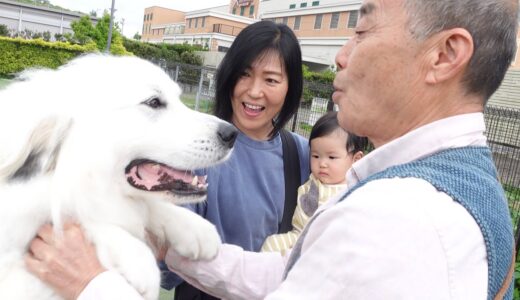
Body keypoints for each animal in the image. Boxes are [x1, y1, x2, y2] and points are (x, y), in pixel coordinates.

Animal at [0, 54, 238, 300]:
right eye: (154, 102)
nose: (231, 134)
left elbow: (148, 207)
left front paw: (196, 229)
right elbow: (81, 219)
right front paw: (140, 264)